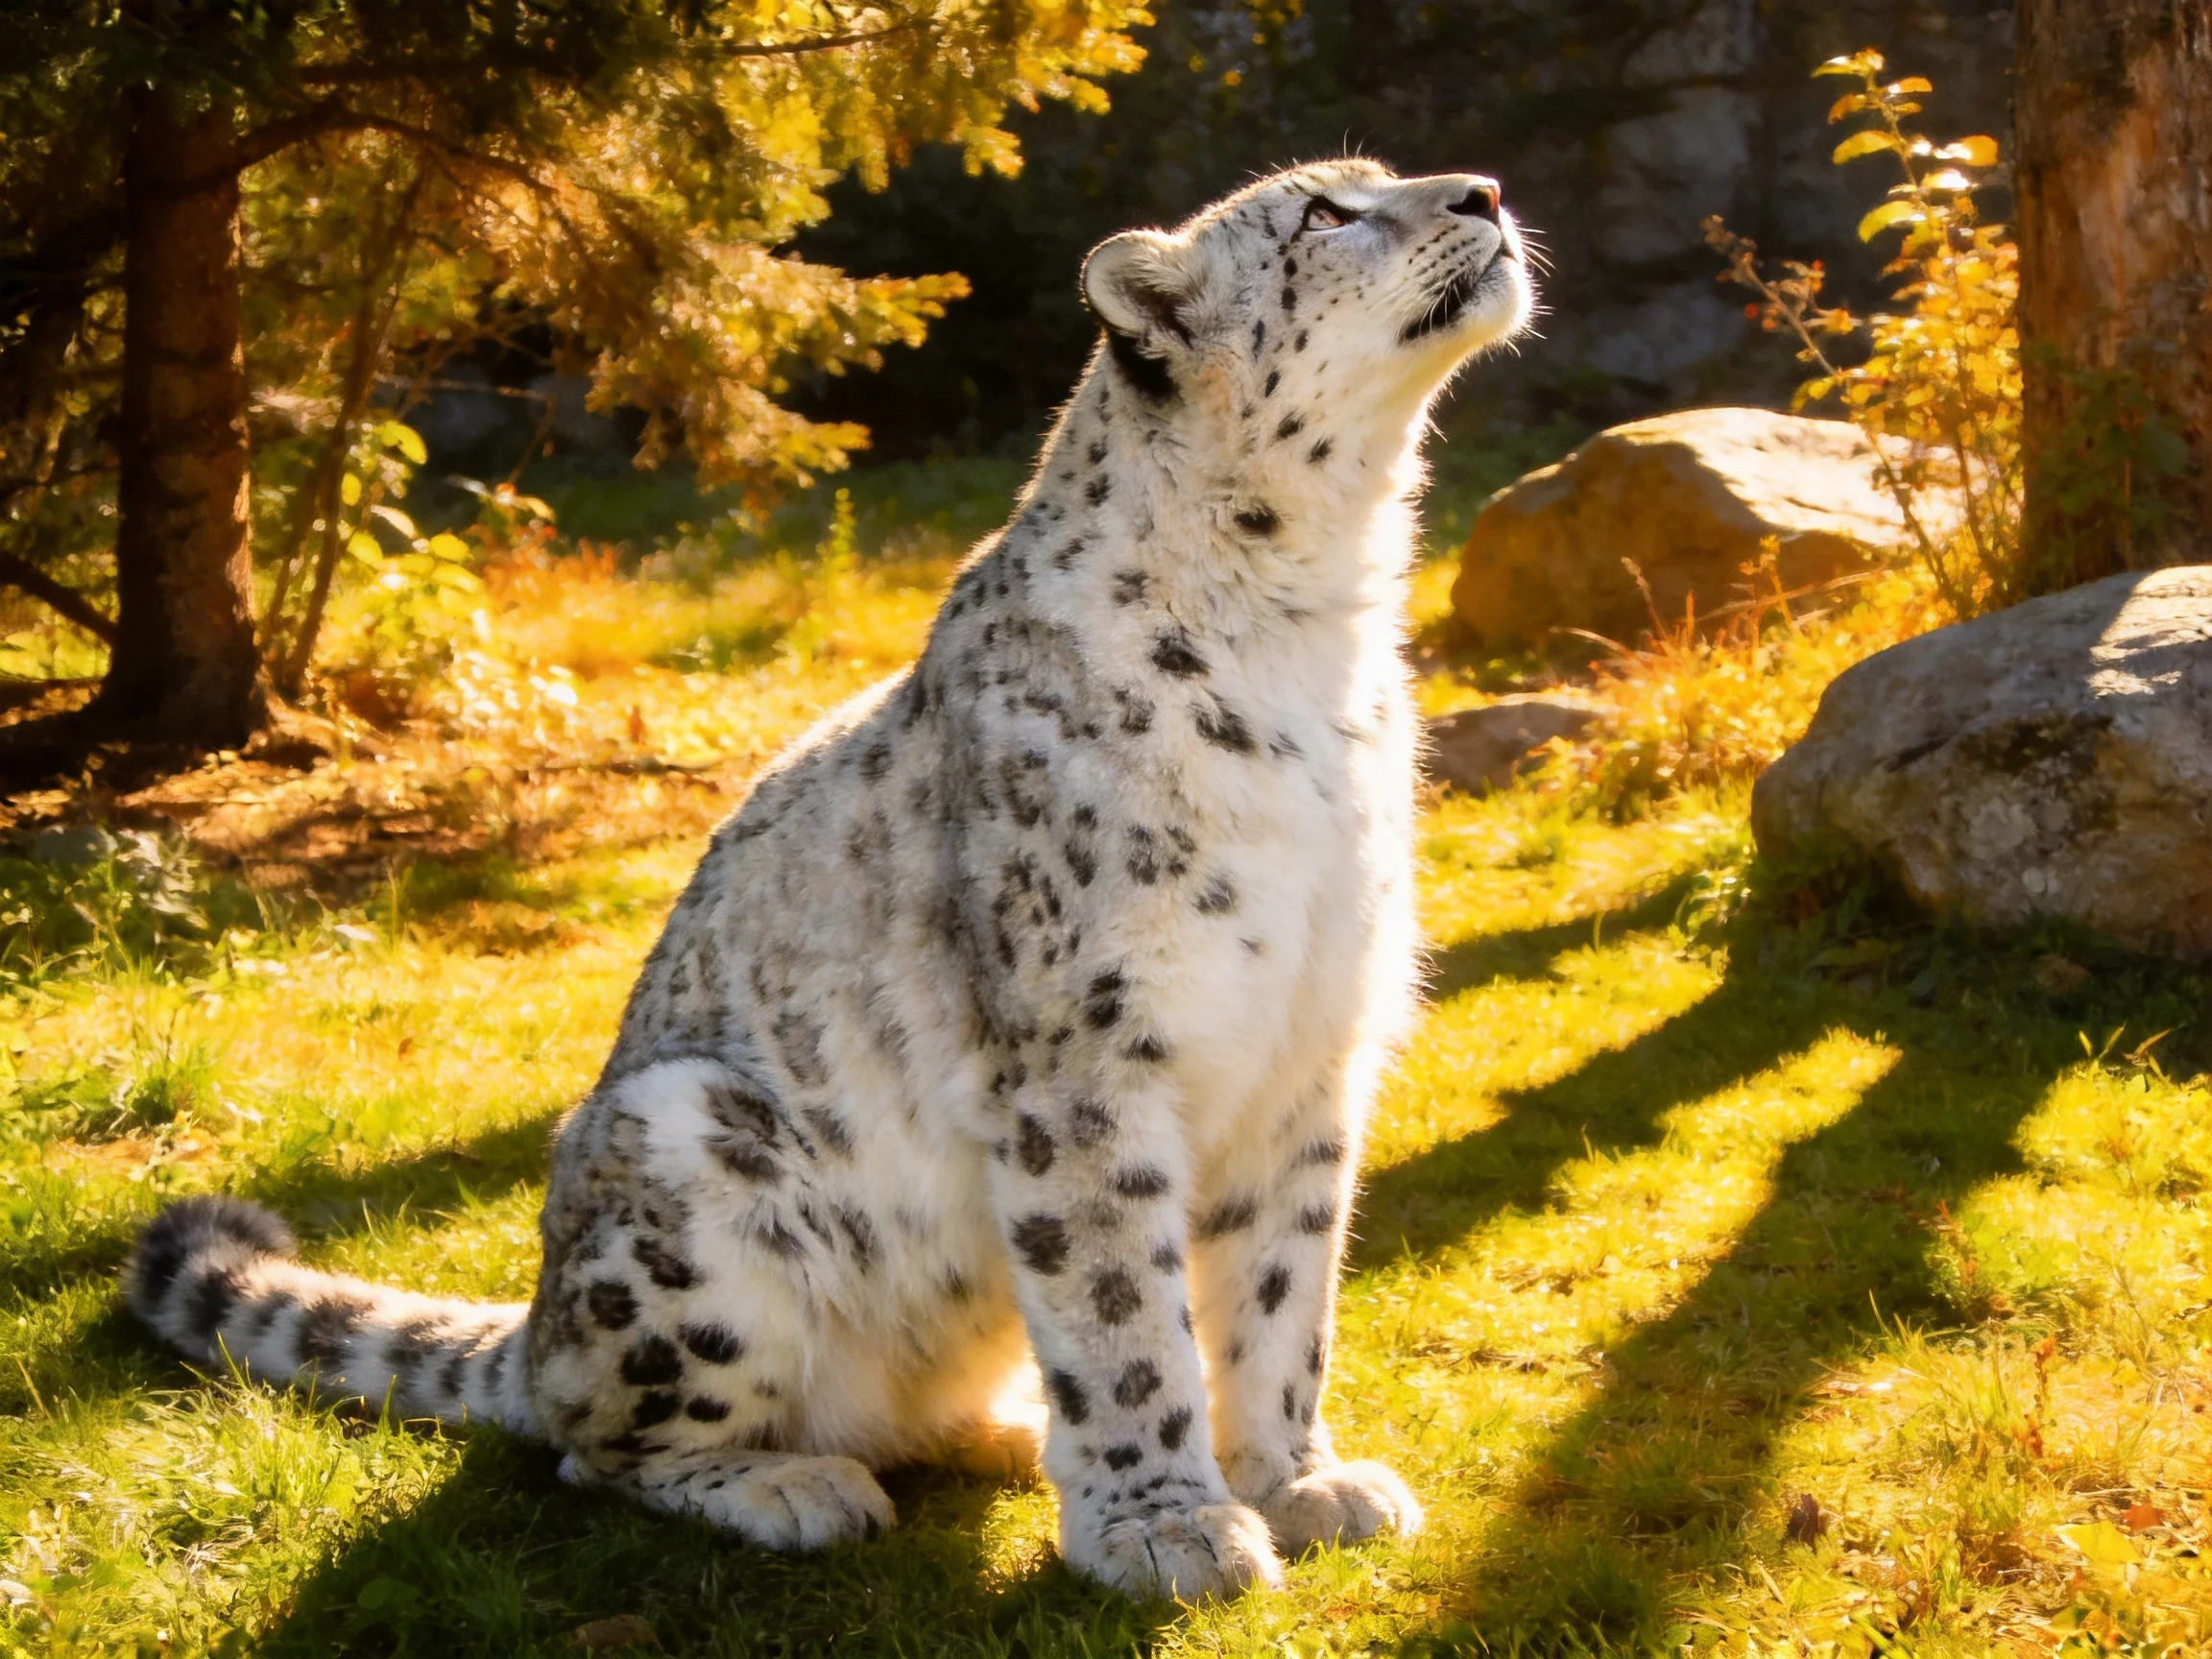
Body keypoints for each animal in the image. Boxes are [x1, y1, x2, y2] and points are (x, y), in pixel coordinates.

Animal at [125, 158, 1534, 1601]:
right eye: (1324, 214)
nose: (1483, 190)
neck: (1317, 631)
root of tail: (541, 1317)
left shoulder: (1312, 1046)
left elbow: (1279, 1291)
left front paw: (1297, 1480)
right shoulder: (1085, 1055)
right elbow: (1120, 1304)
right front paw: (1166, 1525)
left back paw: (1005, 1430)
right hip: (691, 1161)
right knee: (596, 1444)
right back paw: (796, 1486)